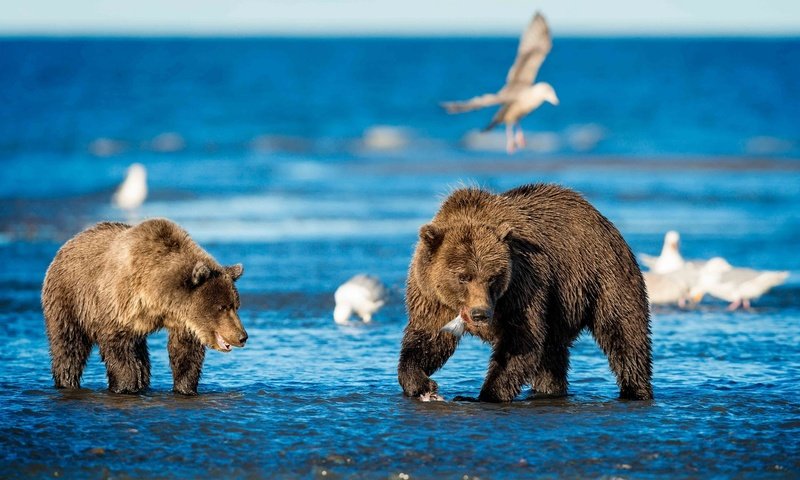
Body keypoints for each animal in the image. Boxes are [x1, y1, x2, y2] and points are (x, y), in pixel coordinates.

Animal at [40, 219, 245, 396]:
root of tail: (68, 244)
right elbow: (119, 350)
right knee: (69, 346)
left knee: (141, 358)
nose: (242, 336)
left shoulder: (181, 321)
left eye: (235, 305)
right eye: (221, 307)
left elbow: (185, 354)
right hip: (69, 299)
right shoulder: (118, 305)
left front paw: (186, 388)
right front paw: (125, 386)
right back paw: (66, 381)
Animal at [396, 186, 652, 404]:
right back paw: (549, 390)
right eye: (463, 276)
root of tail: (601, 218)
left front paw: (484, 395)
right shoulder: (432, 298)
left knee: (623, 332)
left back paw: (635, 390)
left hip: (603, 276)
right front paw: (423, 384)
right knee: (551, 356)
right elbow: (428, 340)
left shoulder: (521, 287)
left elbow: (520, 342)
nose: (480, 314)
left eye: (493, 276)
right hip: (559, 309)